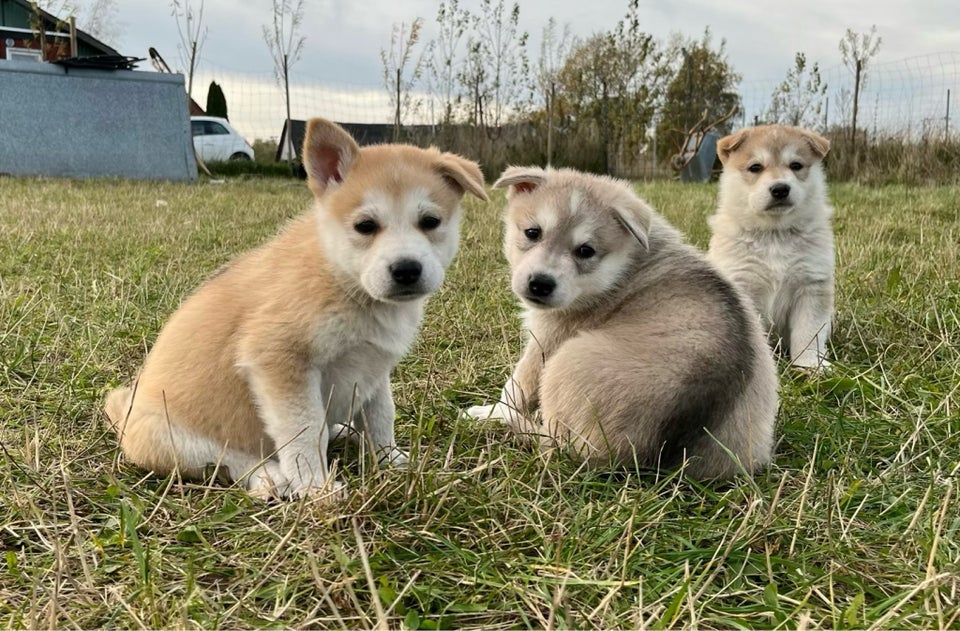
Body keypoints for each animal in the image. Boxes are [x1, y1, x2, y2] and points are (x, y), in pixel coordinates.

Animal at [107, 118, 488, 498]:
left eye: (430, 222)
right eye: (365, 226)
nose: (407, 269)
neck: (342, 281)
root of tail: (123, 414)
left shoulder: (374, 369)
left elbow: (381, 417)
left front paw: (390, 461)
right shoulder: (280, 363)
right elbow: (304, 433)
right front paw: (316, 488)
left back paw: (344, 431)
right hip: (172, 438)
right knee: (228, 461)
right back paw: (270, 477)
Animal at [466, 168, 780, 478]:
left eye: (586, 251)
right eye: (532, 232)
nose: (540, 284)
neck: (622, 269)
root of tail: (646, 455)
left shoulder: (546, 341)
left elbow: (514, 389)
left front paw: (490, 412)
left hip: (565, 362)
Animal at [704, 124, 832, 370]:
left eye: (796, 165)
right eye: (755, 167)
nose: (780, 188)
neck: (775, 234)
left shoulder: (811, 284)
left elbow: (808, 333)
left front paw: (810, 365)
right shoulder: (743, 283)